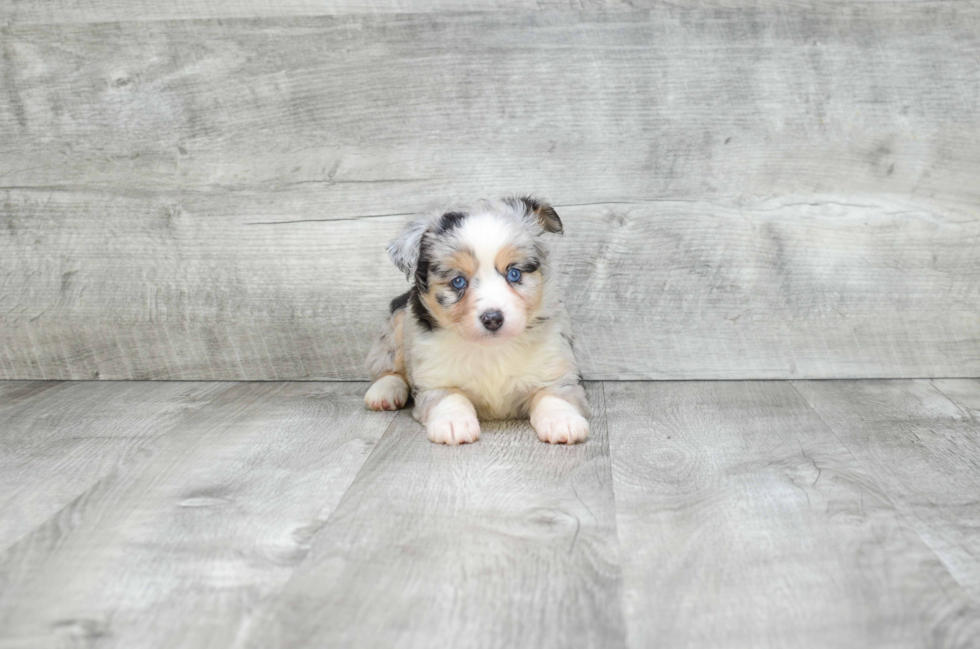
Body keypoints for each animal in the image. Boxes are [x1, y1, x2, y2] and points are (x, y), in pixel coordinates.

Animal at [364, 195, 584, 442]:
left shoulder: (556, 369)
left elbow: (554, 395)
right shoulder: (434, 378)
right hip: (398, 322)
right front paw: (453, 424)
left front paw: (563, 421)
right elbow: (451, 397)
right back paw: (384, 391)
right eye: (458, 281)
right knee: (387, 365)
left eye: (514, 273)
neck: (491, 349)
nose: (493, 319)